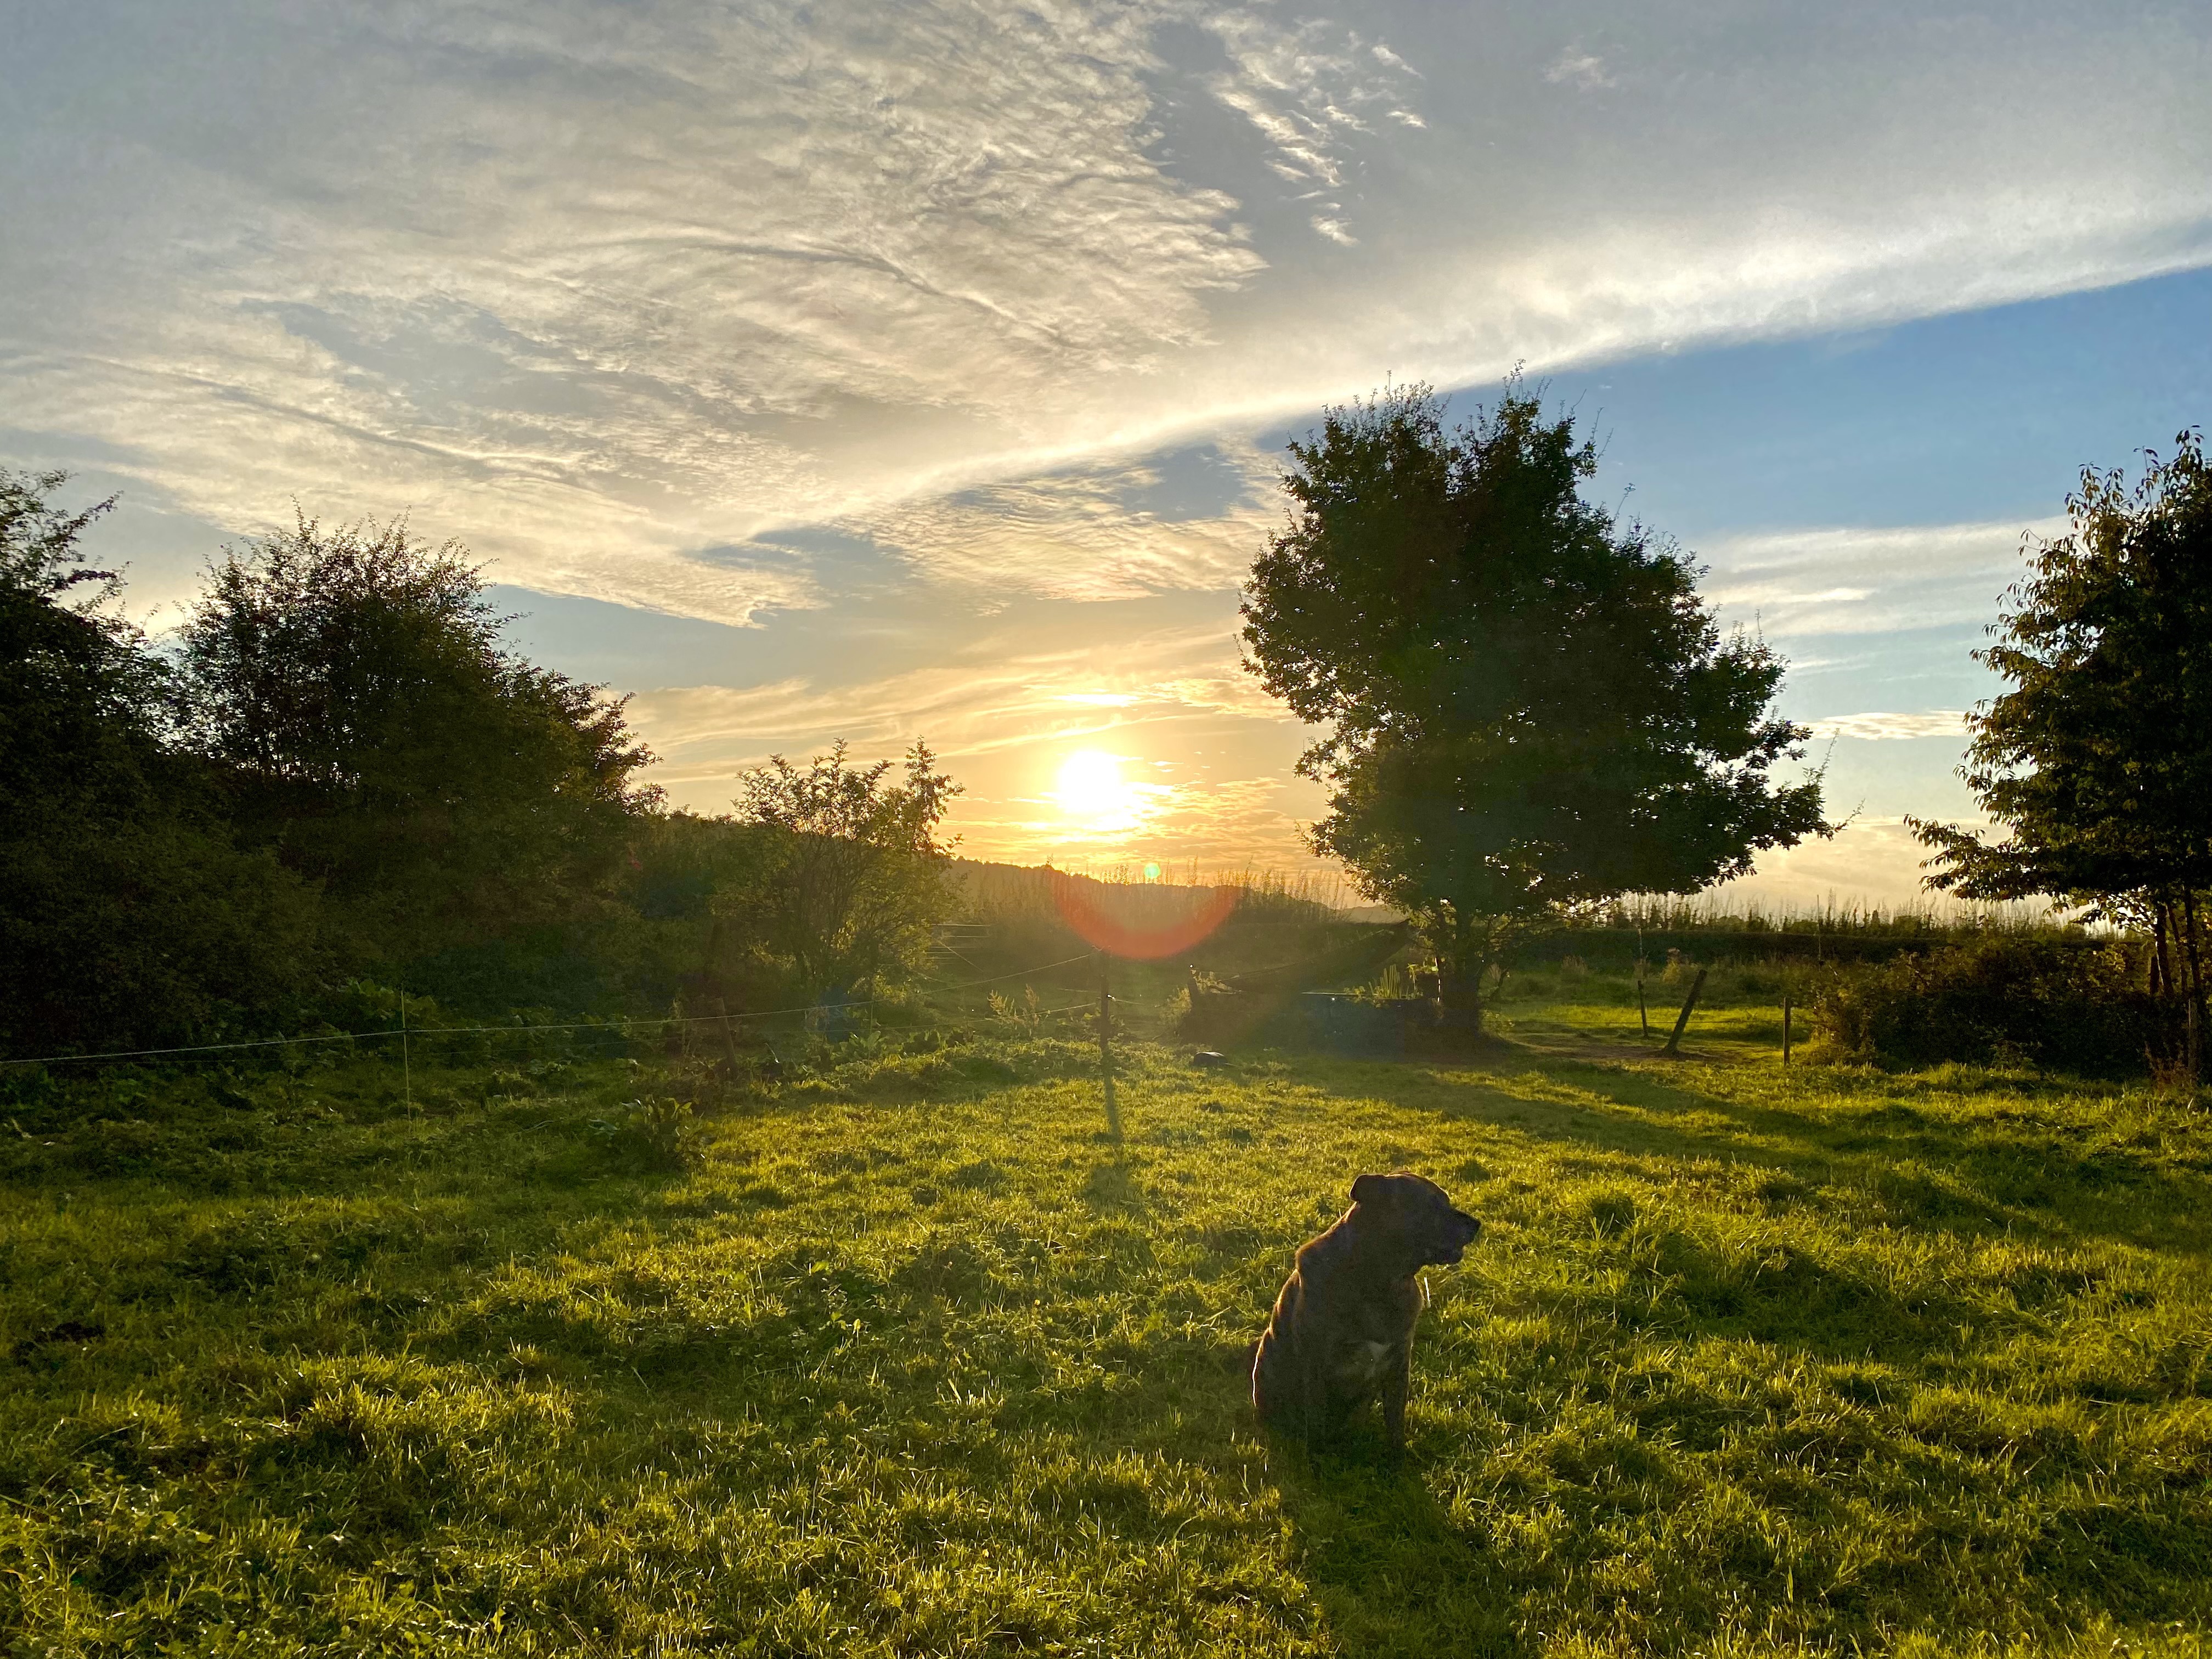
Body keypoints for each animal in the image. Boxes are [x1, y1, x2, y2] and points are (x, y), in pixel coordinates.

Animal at [1256, 1167, 1477, 1451]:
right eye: (1433, 1205)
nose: (1476, 1224)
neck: (1379, 1283)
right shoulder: (1316, 1366)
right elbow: (1316, 1426)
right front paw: (1317, 1460)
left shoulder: (1399, 1364)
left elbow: (1395, 1423)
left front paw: (1398, 1457)